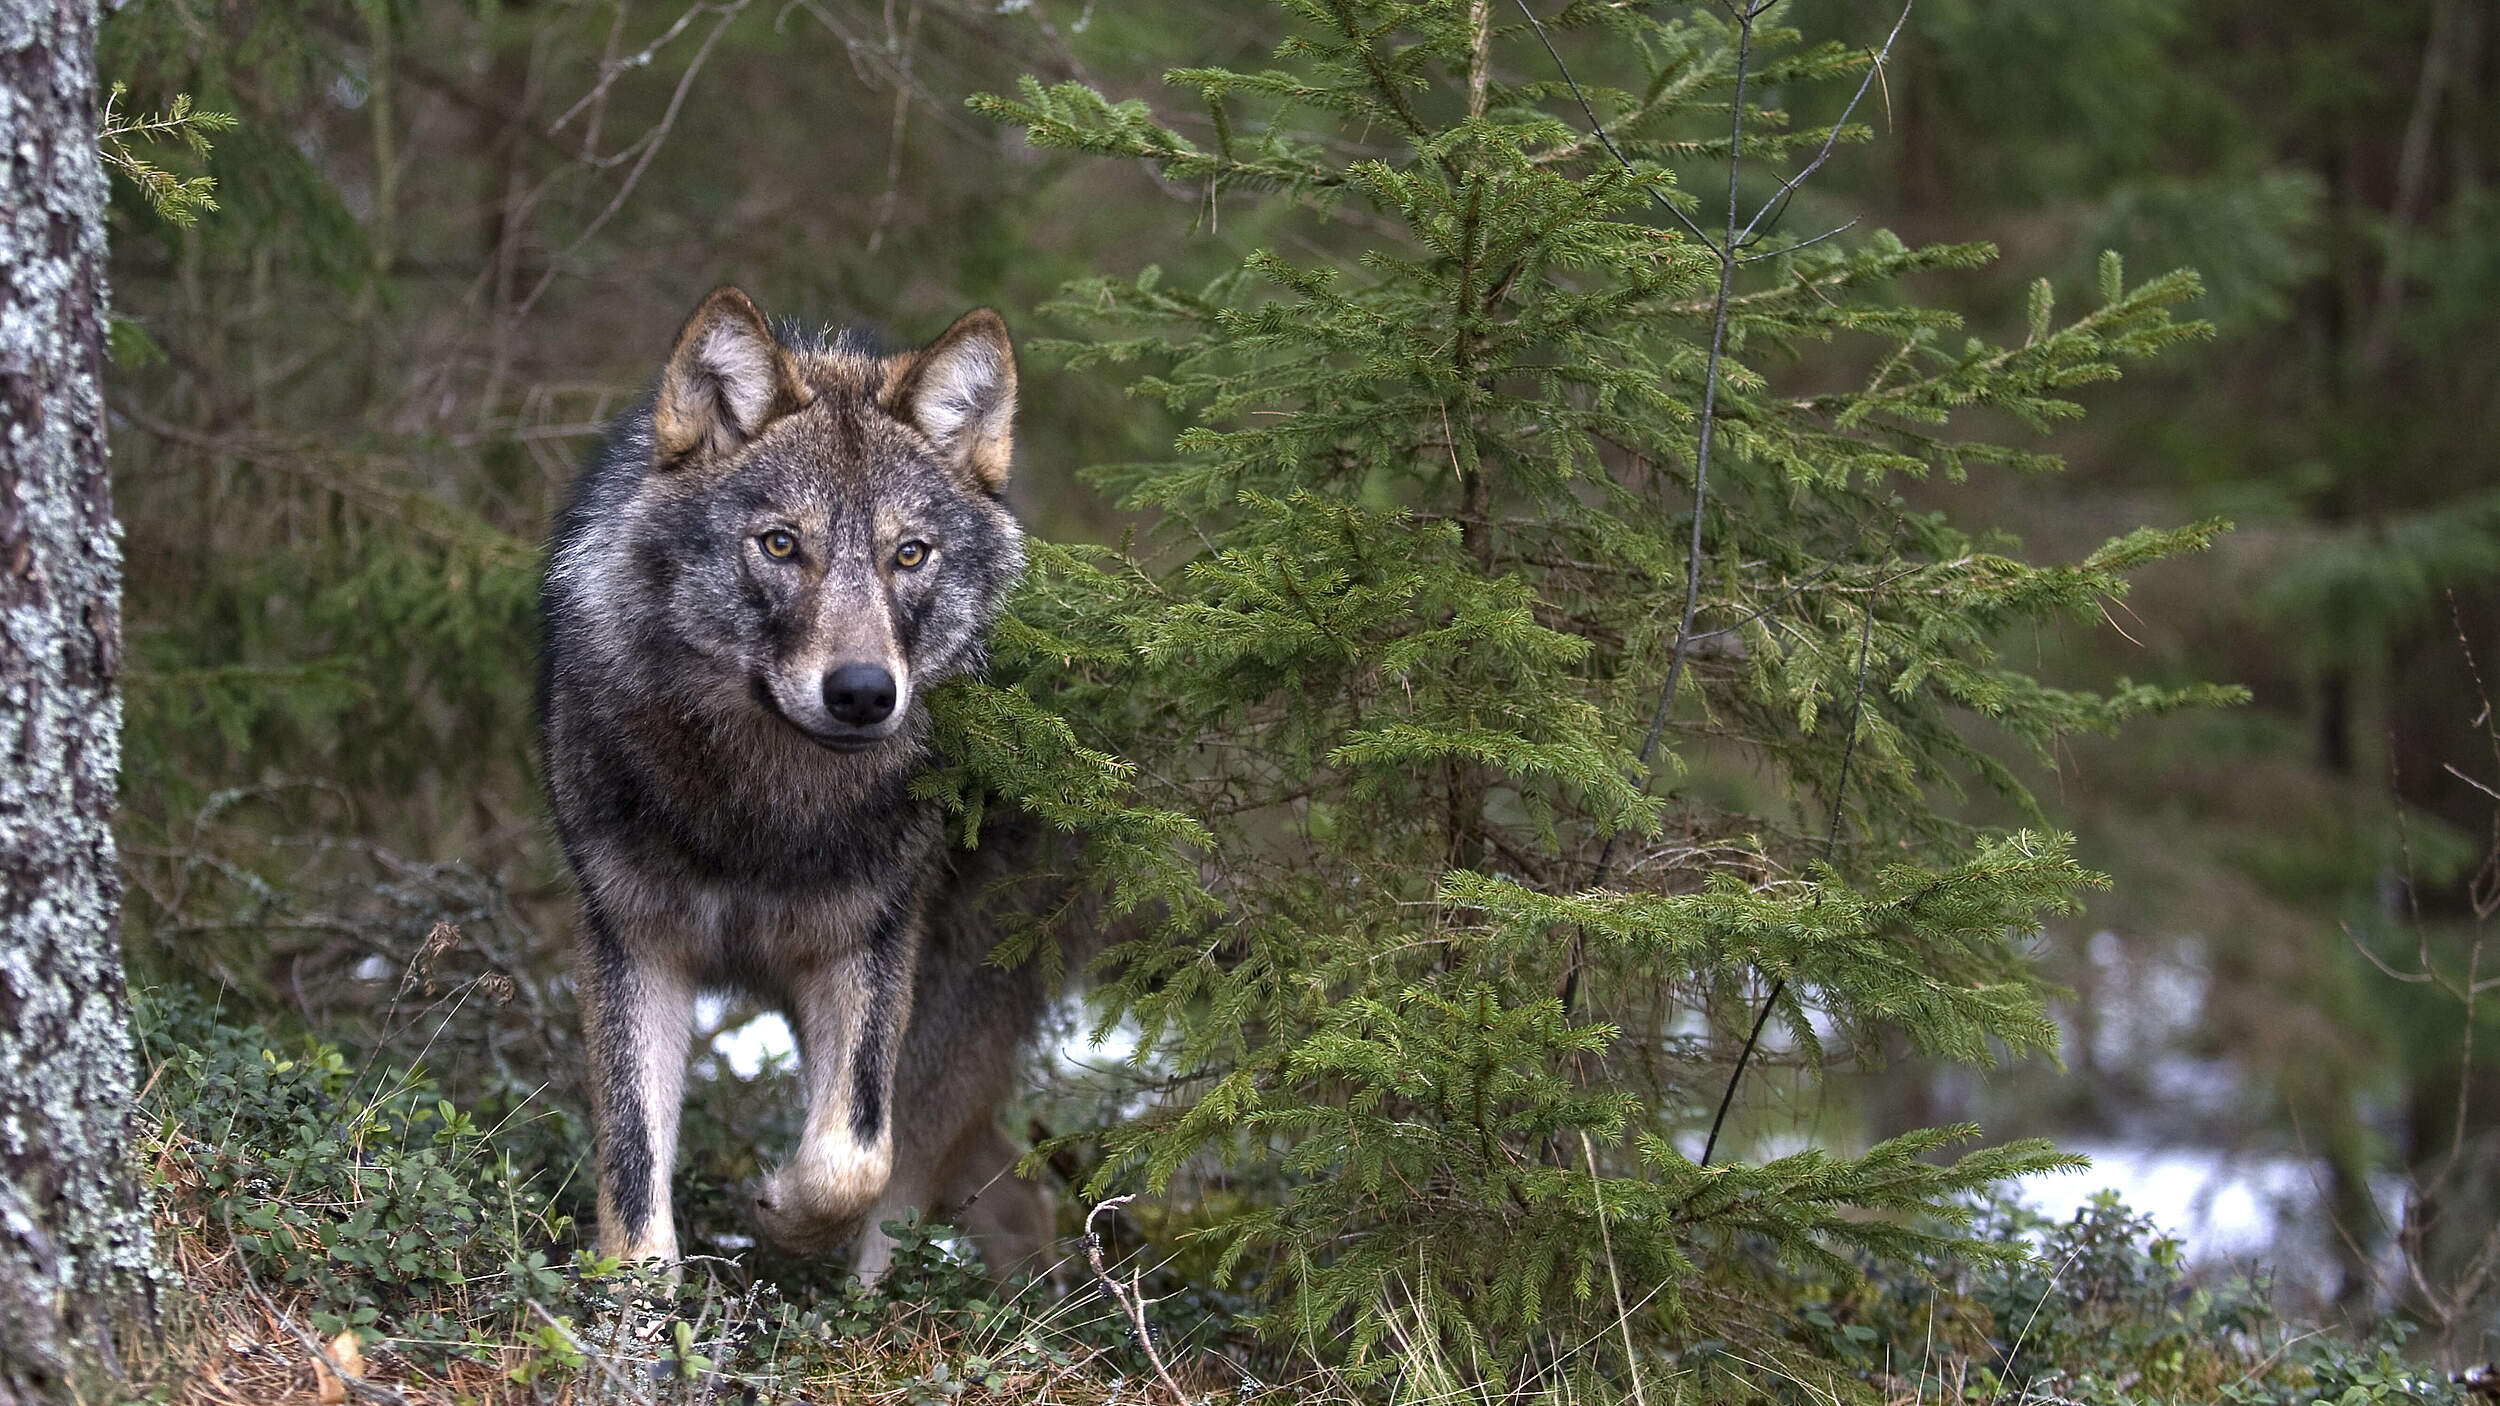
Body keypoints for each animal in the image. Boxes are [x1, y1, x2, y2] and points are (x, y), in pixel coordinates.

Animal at [539, 286, 1057, 1278]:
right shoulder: (632, 941)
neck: (763, 815)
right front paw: (636, 1306)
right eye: (781, 545)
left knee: (919, 1178)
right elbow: (633, 1158)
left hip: (942, 1020)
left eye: (909, 555)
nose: (862, 693)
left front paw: (780, 1216)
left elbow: (853, 1155)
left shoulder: (869, 945)